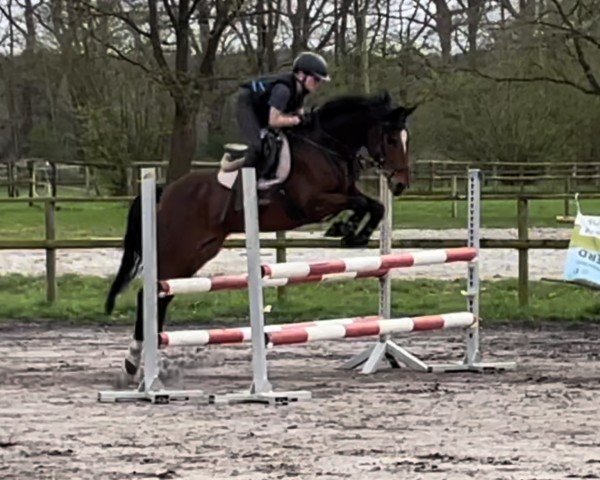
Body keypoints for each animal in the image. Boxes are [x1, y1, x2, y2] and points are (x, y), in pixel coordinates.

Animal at [105, 91, 414, 378]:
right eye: (391, 140)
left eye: (405, 140)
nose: (399, 184)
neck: (326, 147)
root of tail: (164, 192)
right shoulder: (313, 203)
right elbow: (361, 203)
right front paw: (347, 230)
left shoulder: (345, 193)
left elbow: (375, 205)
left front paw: (352, 233)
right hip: (177, 250)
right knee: (149, 294)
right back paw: (133, 361)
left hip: (198, 252)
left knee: (164, 294)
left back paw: (147, 357)